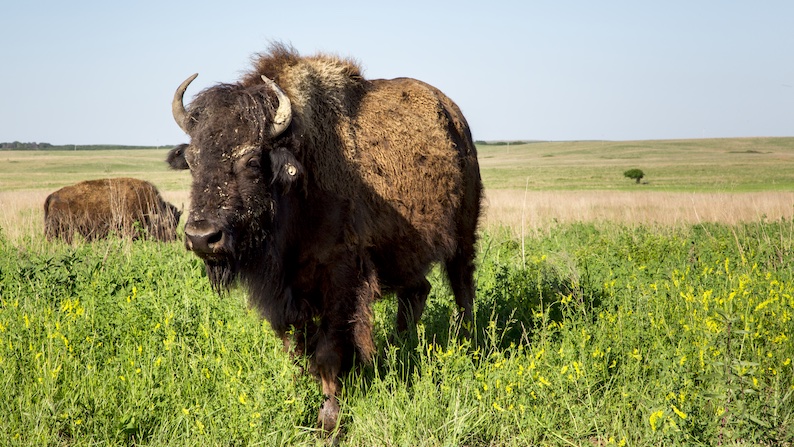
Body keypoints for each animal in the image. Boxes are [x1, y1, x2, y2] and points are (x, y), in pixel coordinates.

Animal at [169, 43, 482, 431]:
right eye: (192, 160)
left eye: (252, 160)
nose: (202, 237)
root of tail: (455, 119)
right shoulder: (285, 293)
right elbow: (297, 347)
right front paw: (301, 398)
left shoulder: (341, 277)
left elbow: (328, 350)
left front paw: (329, 419)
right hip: (403, 253)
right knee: (417, 291)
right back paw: (397, 351)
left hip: (464, 235)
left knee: (462, 287)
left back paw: (466, 345)